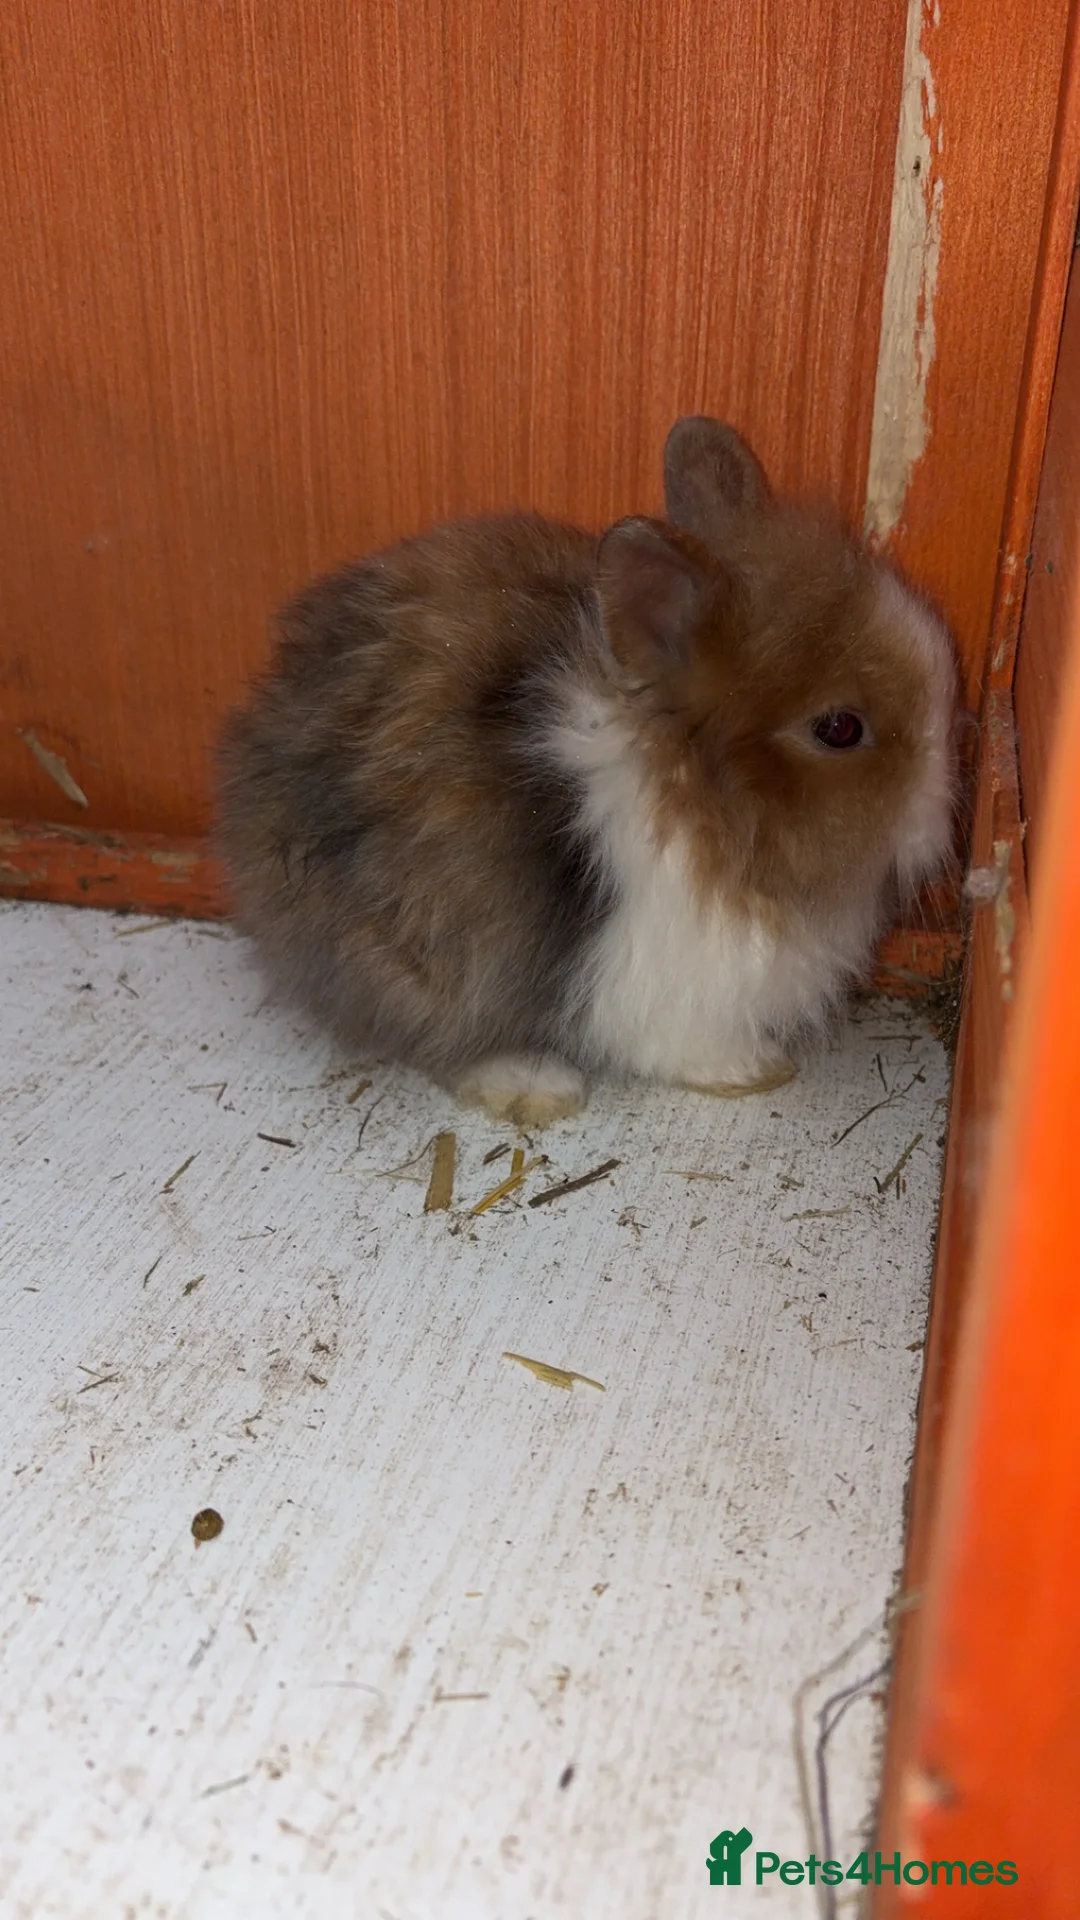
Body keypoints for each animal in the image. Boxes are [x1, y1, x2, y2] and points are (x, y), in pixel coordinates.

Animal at [216, 416, 957, 1127]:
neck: (703, 798)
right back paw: (536, 1086)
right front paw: (756, 1070)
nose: (942, 809)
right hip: (428, 950)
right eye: (840, 729)